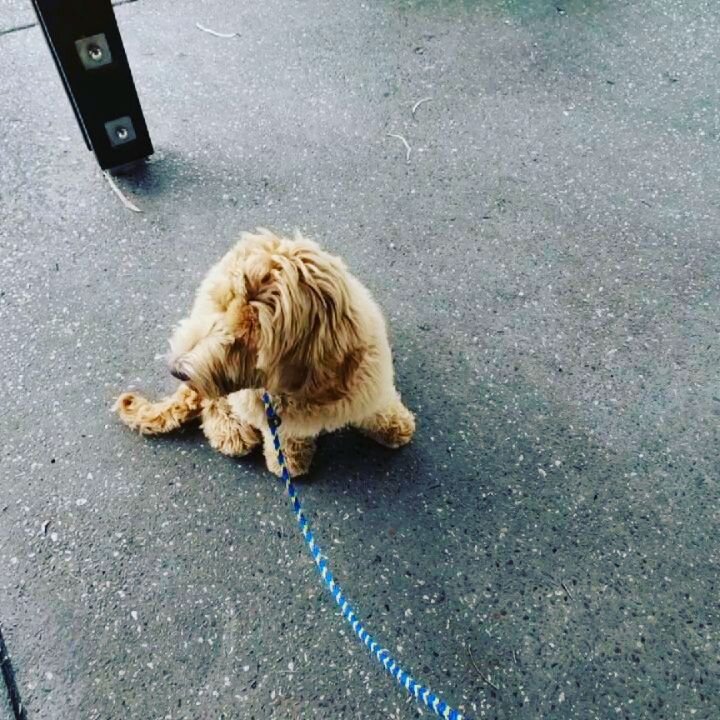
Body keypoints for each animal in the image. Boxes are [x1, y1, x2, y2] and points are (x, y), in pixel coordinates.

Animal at [114, 231, 416, 476]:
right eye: (220, 305)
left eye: (249, 334)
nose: (176, 370)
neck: (305, 390)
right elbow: (284, 437)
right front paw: (289, 462)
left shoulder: (368, 380)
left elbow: (377, 407)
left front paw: (394, 425)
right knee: (214, 401)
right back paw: (231, 431)